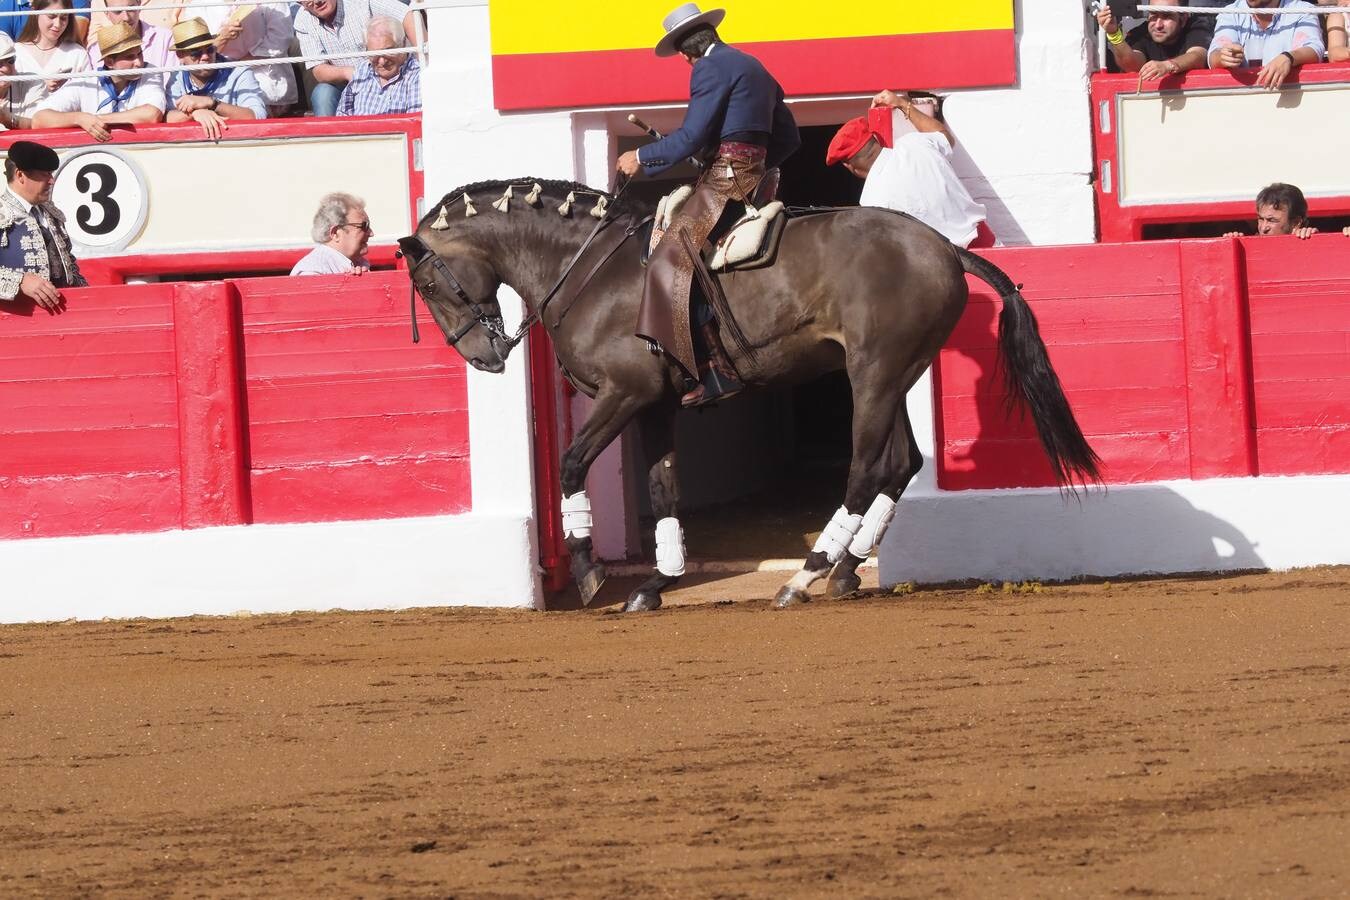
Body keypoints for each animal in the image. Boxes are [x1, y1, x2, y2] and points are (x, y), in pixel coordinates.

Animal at [394, 178, 1101, 612]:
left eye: (427, 284)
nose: (483, 357)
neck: (589, 271)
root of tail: (946, 248)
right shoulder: (655, 405)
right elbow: (663, 489)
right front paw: (655, 584)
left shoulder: (625, 394)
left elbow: (571, 464)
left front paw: (592, 573)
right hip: (896, 374)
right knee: (902, 463)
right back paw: (846, 570)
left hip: (873, 375)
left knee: (864, 468)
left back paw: (805, 575)